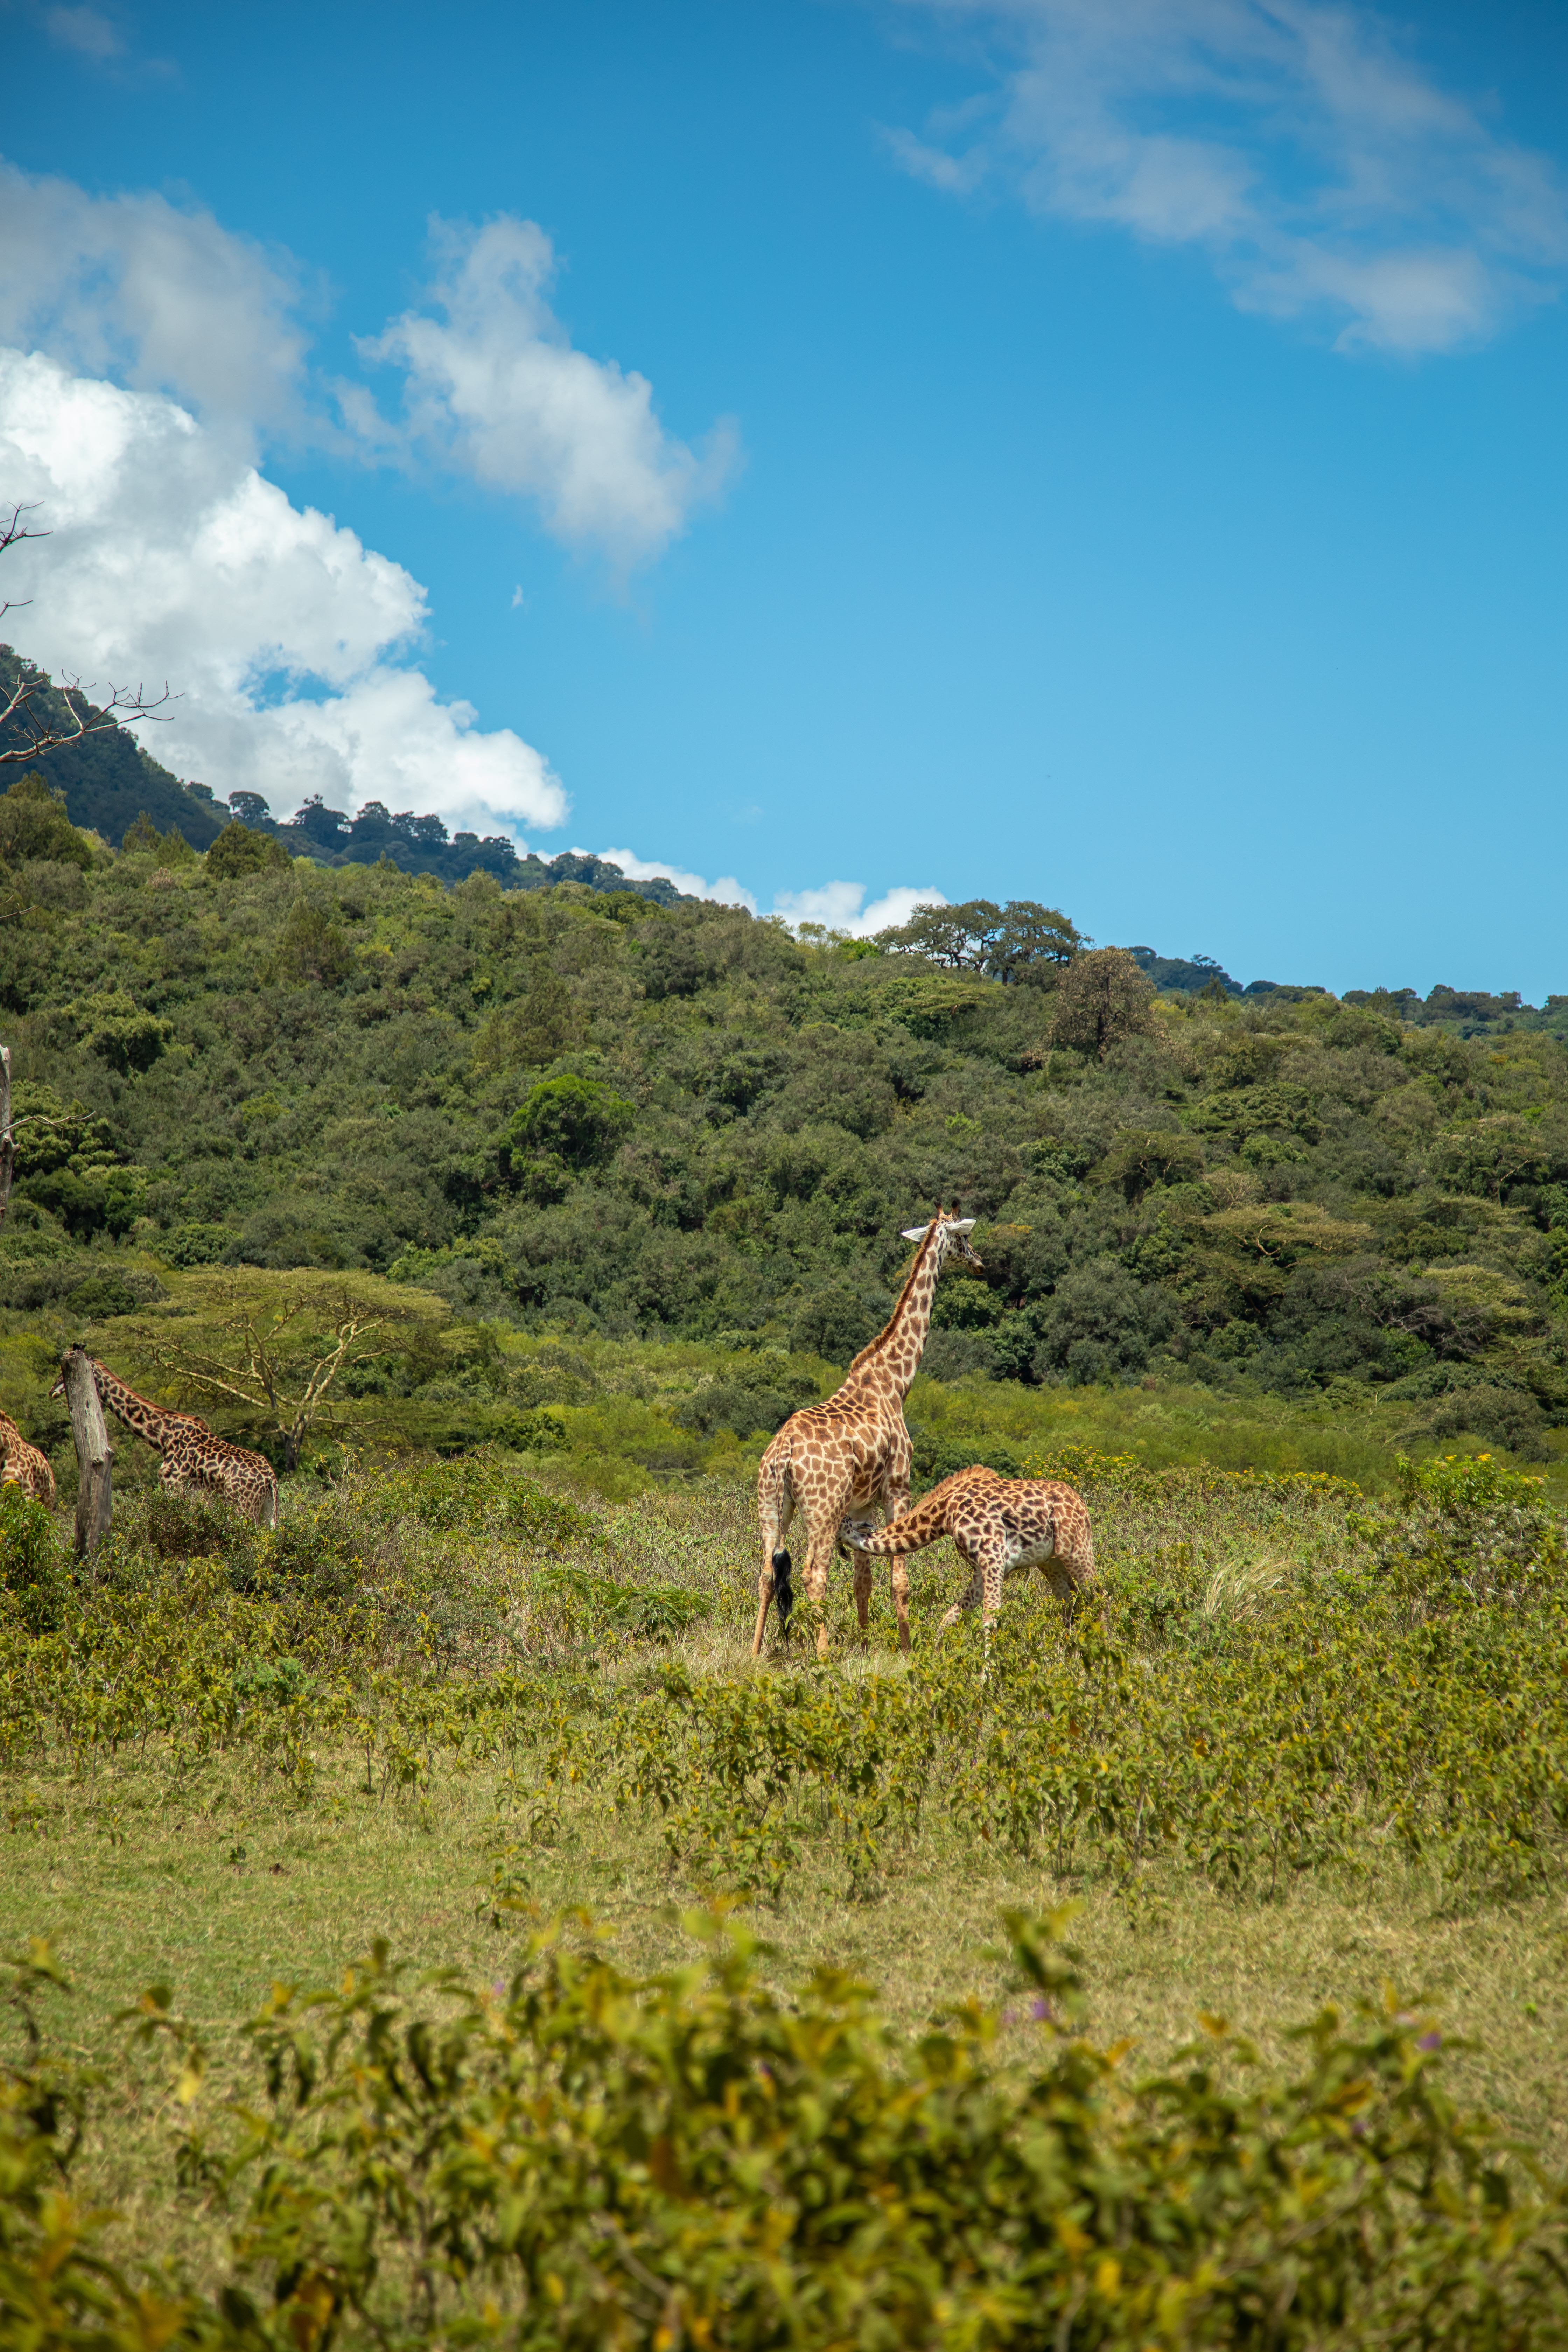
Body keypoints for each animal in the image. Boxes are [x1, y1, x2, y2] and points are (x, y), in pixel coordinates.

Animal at [49, 1358, 279, 1527]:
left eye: (64, 1372)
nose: (52, 1390)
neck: (164, 1438)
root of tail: (270, 1478)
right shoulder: (192, 1494)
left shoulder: (172, 1485)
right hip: (268, 1511)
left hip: (243, 1507)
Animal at [751, 1209, 984, 1658]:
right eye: (963, 1240)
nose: (980, 1264)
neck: (895, 1381)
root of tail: (783, 1454)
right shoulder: (898, 1487)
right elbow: (899, 1579)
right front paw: (905, 1650)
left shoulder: (860, 1506)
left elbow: (863, 1581)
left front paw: (863, 1644)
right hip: (822, 1508)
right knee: (814, 1573)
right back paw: (823, 1655)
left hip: (772, 1504)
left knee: (766, 1573)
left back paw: (752, 1654)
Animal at [842, 1466, 1094, 1658]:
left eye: (840, 1524)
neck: (945, 1515)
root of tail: (1080, 1501)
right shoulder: (981, 1569)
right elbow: (951, 1616)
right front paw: (936, 1658)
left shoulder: (993, 1556)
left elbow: (989, 1618)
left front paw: (986, 1681)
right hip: (1051, 1562)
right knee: (1069, 1598)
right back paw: (1068, 1655)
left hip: (1075, 1547)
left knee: (1096, 1593)